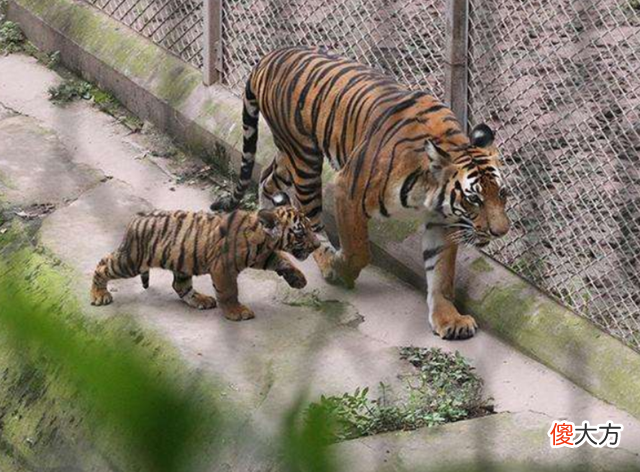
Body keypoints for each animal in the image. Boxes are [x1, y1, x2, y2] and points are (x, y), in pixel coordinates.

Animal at [90, 194, 320, 321]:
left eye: (310, 228)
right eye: (300, 233)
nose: (317, 245)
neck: (265, 240)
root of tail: (137, 217)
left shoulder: (261, 256)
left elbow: (283, 260)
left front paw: (298, 279)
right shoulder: (223, 268)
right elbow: (229, 291)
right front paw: (236, 312)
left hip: (181, 262)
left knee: (180, 286)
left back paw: (200, 300)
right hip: (131, 261)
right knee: (103, 265)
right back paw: (99, 295)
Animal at [210, 47, 510, 339]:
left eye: (503, 194)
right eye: (474, 199)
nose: (501, 232)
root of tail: (269, 57)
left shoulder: (441, 219)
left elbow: (441, 271)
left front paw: (449, 319)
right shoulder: (348, 190)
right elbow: (358, 250)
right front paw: (341, 268)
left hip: (288, 156)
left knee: (267, 177)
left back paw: (269, 223)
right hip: (304, 159)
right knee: (311, 221)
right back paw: (326, 261)